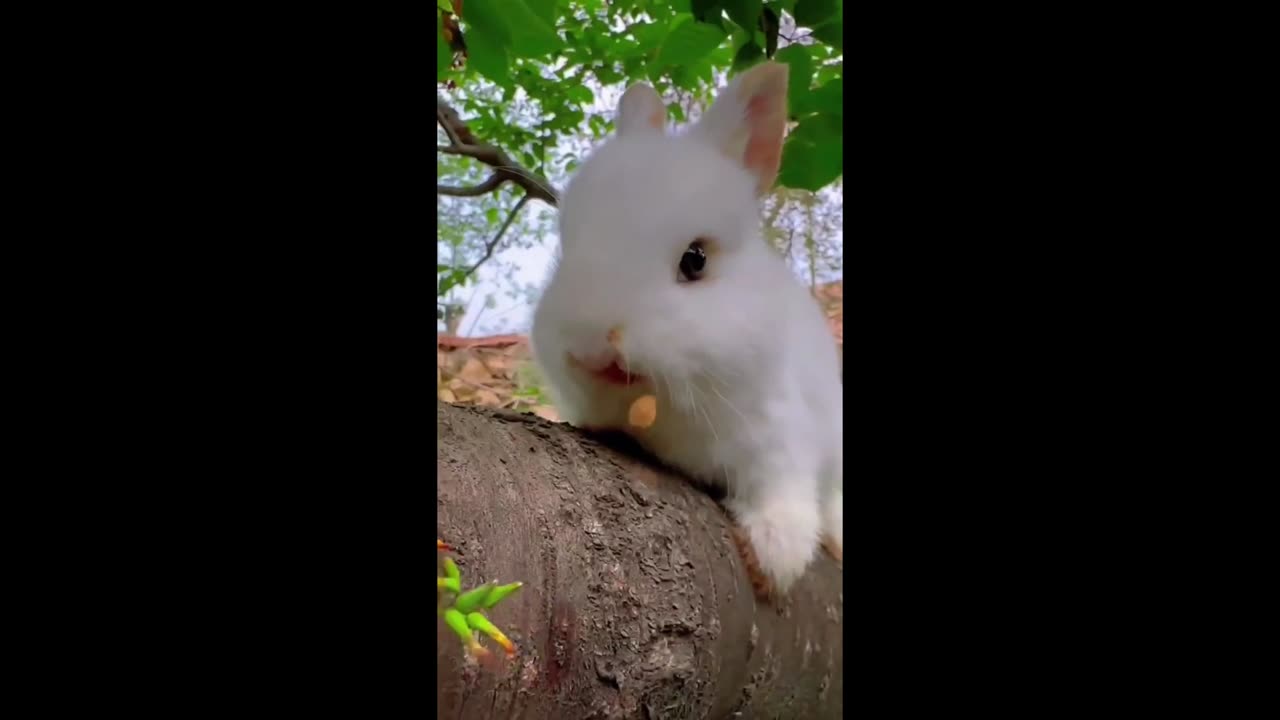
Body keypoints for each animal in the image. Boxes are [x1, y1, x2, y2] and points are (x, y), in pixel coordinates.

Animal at [529, 61, 839, 597]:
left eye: (695, 260)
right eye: (566, 248)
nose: (589, 346)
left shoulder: (782, 433)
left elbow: (783, 490)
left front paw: (773, 557)